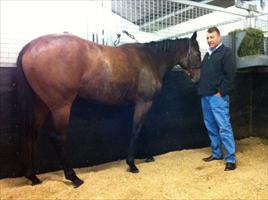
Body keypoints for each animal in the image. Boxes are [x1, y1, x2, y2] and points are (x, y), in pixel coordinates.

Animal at [16, 31, 201, 188]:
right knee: (57, 138)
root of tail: (30, 47)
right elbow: (136, 130)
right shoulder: (144, 102)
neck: (150, 60)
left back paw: (33, 177)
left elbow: (142, 129)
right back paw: (74, 177)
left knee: (31, 134)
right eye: (198, 53)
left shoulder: (138, 104)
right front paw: (132, 164)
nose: (197, 79)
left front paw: (147, 156)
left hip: (40, 105)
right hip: (61, 107)